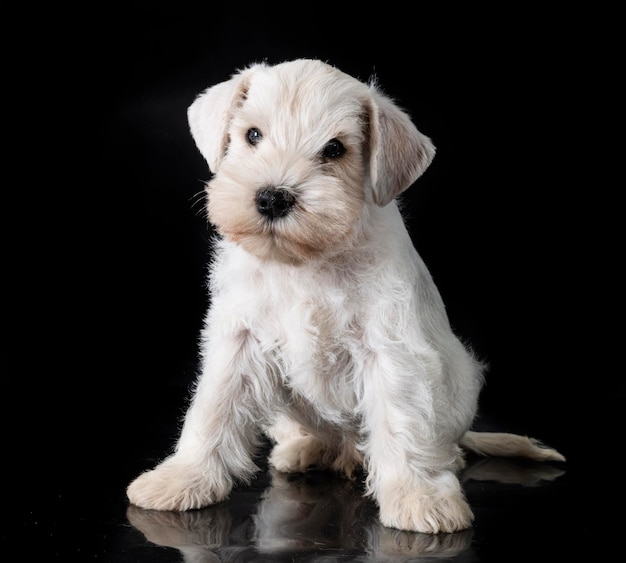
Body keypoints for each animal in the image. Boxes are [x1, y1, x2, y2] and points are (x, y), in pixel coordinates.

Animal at [125, 59, 560, 536]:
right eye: (253, 135)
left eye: (335, 149)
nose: (273, 197)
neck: (305, 263)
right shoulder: (239, 340)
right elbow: (213, 410)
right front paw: (183, 478)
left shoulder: (391, 352)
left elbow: (401, 422)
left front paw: (420, 497)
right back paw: (304, 449)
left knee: (434, 443)